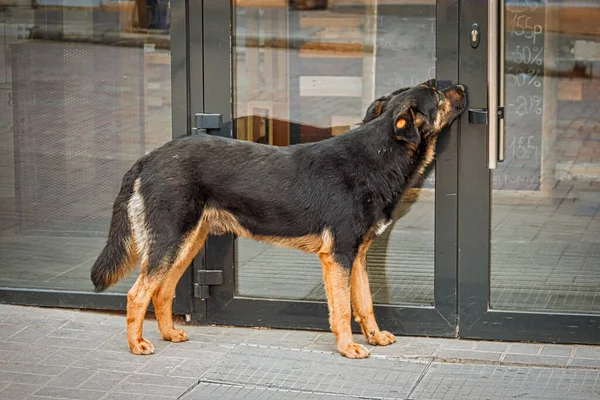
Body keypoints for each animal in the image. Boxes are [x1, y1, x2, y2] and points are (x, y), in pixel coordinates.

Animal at [90, 81, 468, 360]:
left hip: (186, 243)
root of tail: (148, 158)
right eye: (436, 93)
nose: (464, 86)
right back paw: (137, 345)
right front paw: (348, 347)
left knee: (163, 291)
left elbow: (364, 303)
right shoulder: (338, 257)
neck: (379, 154)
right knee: (138, 294)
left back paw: (169, 333)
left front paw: (374, 337)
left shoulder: (357, 257)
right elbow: (342, 310)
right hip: (169, 242)